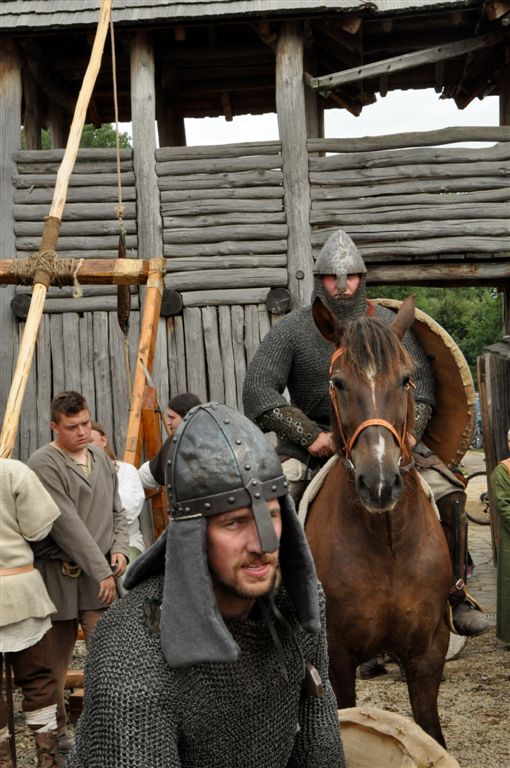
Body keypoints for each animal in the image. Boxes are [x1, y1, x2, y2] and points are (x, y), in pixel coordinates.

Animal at [305, 295, 451, 747]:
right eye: (338, 383)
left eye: (405, 380)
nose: (380, 483)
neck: (388, 542)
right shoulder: (336, 656)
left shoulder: (427, 652)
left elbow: (430, 732)